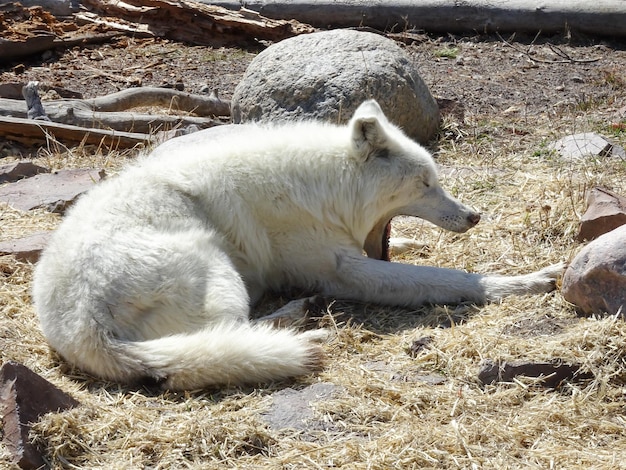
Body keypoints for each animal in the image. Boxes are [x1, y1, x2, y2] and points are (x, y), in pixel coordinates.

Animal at [31, 101, 560, 392]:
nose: (474, 216)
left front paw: (414, 244)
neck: (322, 187)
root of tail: (83, 326)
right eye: (425, 184)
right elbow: (447, 280)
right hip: (216, 268)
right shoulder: (342, 271)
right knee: (226, 337)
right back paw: (300, 323)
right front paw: (521, 282)